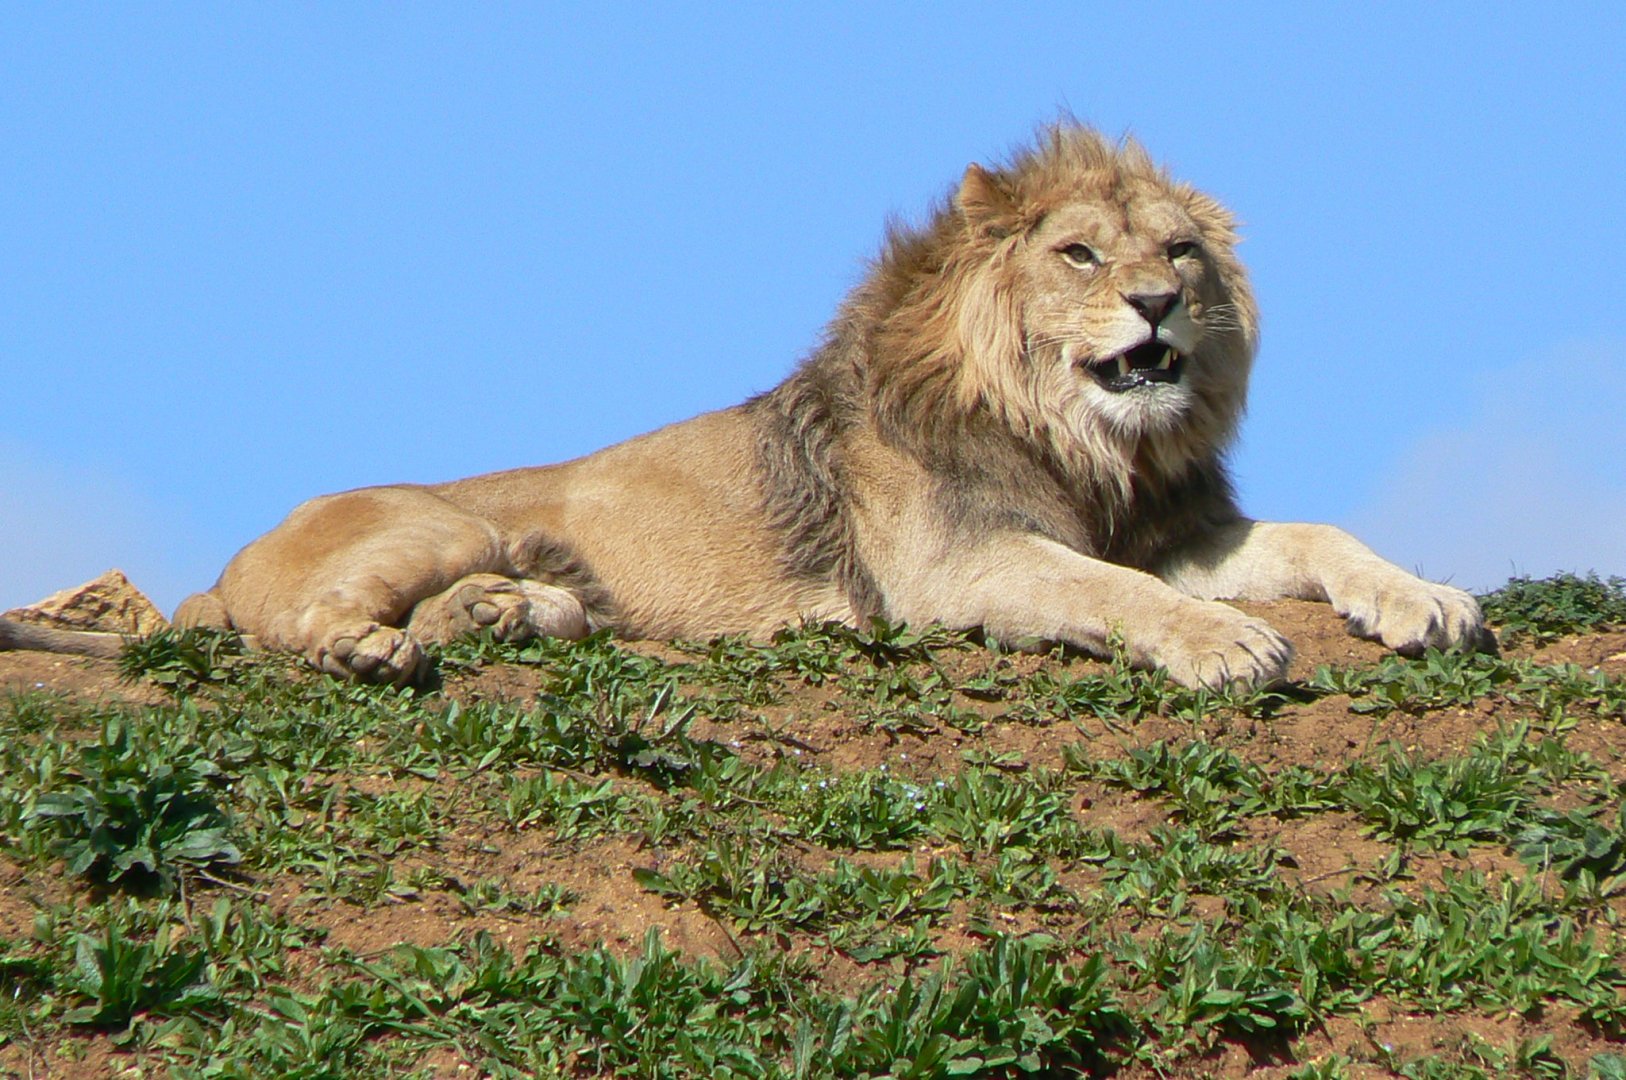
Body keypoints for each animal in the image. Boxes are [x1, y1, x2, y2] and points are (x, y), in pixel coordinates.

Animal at [4, 124, 1491, 687]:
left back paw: (508, 619)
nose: (1157, 309)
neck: (1089, 449)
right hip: (429, 520)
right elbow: (1110, 593)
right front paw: (1222, 645)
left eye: (1178, 251)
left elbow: (1314, 537)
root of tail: (222, 565)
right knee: (299, 627)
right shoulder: (959, 569)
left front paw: (1425, 599)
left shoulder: (1173, 527)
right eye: (1078, 255)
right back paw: (382, 648)